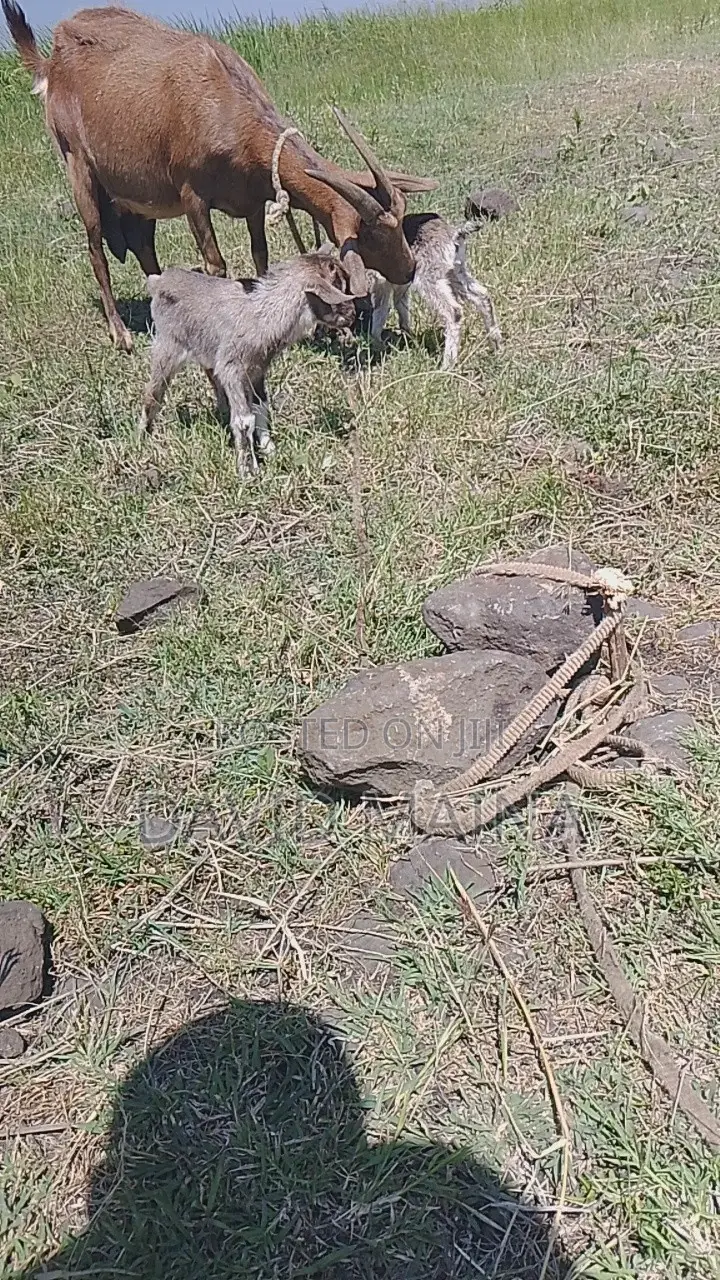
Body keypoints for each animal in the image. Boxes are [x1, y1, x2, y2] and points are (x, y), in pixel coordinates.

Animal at [2, 2, 437, 352]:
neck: (227, 107)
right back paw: (120, 334)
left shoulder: (254, 197)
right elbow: (215, 264)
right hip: (78, 164)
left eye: (402, 219)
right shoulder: (191, 192)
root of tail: (51, 60)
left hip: (139, 197)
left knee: (143, 246)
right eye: (368, 237)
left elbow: (261, 254)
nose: (409, 269)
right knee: (95, 249)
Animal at [140, 252, 356, 475]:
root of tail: (159, 280)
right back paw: (143, 438)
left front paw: (269, 450)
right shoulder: (232, 368)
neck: (264, 315)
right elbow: (244, 421)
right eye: (337, 284)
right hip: (167, 346)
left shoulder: (257, 369)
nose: (352, 314)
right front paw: (247, 470)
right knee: (153, 393)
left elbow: (261, 407)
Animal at [367, 214, 502, 368]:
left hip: (429, 275)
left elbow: (381, 309)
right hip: (455, 271)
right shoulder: (399, 283)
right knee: (482, 296)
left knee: (453, 311)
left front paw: (376, 344)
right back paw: (496, 345)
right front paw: (407, 336)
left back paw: (447, 366)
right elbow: (400, 304)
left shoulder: (379, 281)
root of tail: (454, 234)